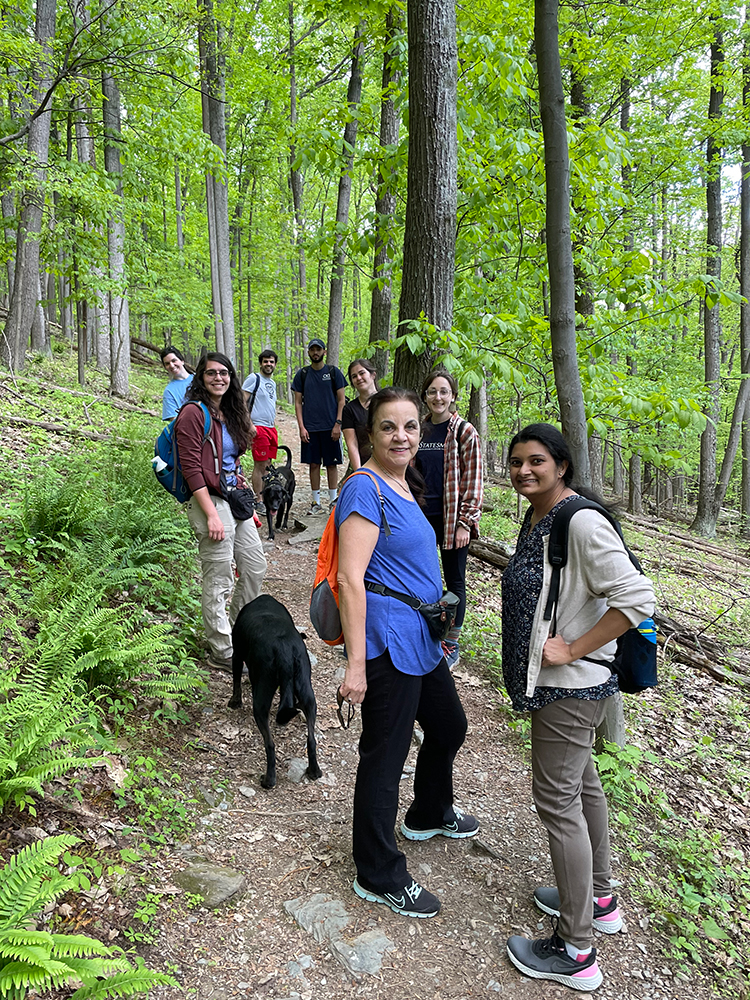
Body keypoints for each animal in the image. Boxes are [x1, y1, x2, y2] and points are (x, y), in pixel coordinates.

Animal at [229, 592, 324, 788]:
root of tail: (283, 649)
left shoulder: (237, 655)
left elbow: (236, 680)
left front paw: (235, 702)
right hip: (307, 692)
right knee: (311, 739)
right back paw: (314, 771)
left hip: (261, 700)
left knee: (270, 744)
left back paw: (268, 780)